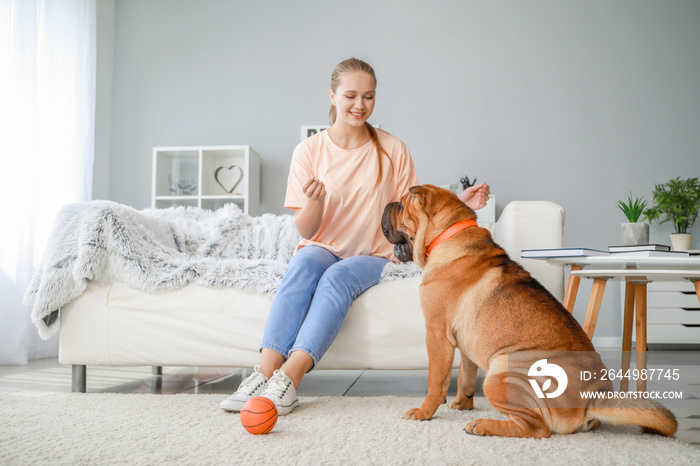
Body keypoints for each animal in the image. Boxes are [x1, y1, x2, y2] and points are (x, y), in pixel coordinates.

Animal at [382, 185, 680, 436]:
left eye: (402, 205)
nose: (389, 204)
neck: (449, 235)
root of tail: (593, 397)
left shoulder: (436, 334)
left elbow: (436, 381)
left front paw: (423, 412)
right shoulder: (464, 344)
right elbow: (465, 376)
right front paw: (462, 403)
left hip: (499, 375)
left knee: (535, 428)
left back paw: (483, 425)